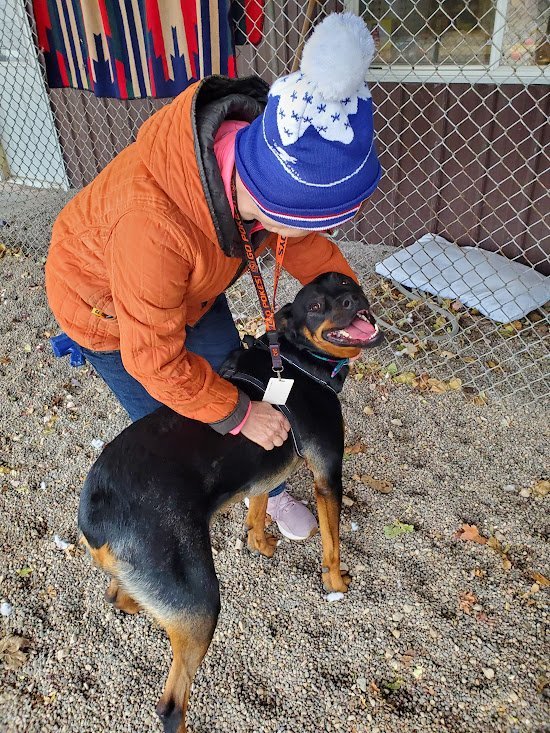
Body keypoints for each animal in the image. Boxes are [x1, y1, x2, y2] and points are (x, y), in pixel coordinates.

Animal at [78, 274, 384, 732]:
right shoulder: (327, 474)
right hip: (200, 602)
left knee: (120, 597)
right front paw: (336, 583)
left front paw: (260, 542)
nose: (352, 299)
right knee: (171, 704)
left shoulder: (263, 469)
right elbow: (332, 543)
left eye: (346, 282)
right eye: (316, 307)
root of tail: (96, 515)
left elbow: (257, 510)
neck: (296, 361)